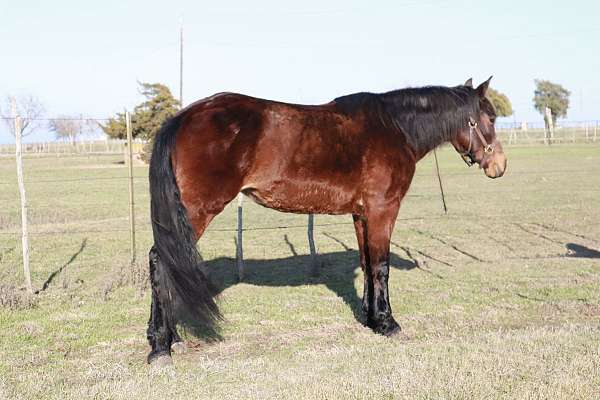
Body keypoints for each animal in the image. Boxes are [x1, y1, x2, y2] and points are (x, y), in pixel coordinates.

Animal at [145, 76, 506, 364]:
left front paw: (370, 318)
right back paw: (161, 348)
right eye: (489, 117)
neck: (393, 128)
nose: (499, 166)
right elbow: (381, 266)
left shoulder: (361, 214)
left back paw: (169, 340)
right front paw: (388, 324)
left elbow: (366, 262)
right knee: (162, 262)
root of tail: (182, 118)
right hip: (195, 212)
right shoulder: (383, 210)